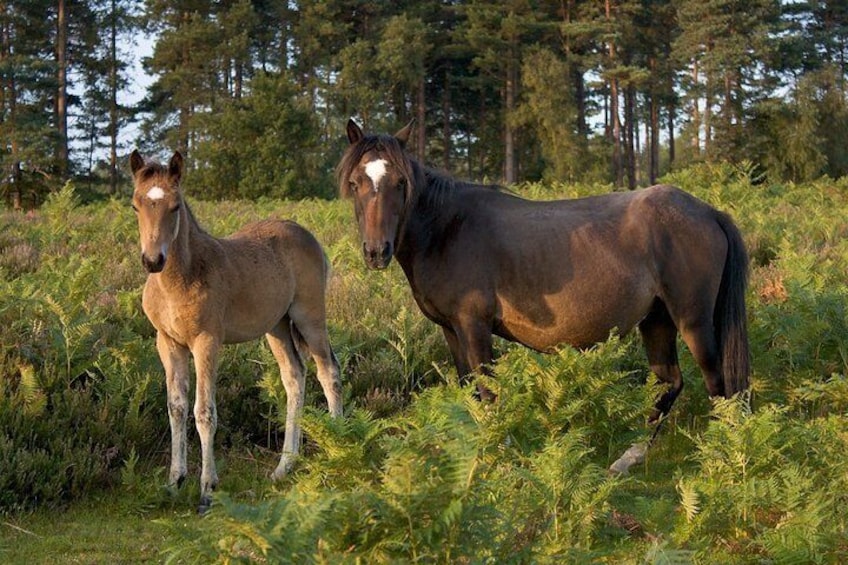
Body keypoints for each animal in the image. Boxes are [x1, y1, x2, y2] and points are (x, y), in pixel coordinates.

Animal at [129, 150, 342, 512]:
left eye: (175, 206)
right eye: (135, 205)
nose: (153, 260)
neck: (180, 279)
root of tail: (305, 233)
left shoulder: (206, 343)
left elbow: (204, 412)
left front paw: (207, 490)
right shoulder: (168, 343)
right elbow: (176, 407)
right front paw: (174, 482)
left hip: (309, 317)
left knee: (328, 373)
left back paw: (343, 445)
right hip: (277, 327)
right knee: (294, 377)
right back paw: (284, 466)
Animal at [338, 121, 748, 474]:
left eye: (400, 182)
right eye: (356, 182)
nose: (376, 251)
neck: (446, 229)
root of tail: (708, 212)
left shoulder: (473, 326)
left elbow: (489, 393)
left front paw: (499, 457)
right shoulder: (451, 330)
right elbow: (471, 393)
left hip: (692, 320)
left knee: (717, 385)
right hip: (657, 320)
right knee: (668, 383)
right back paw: (627, 458)